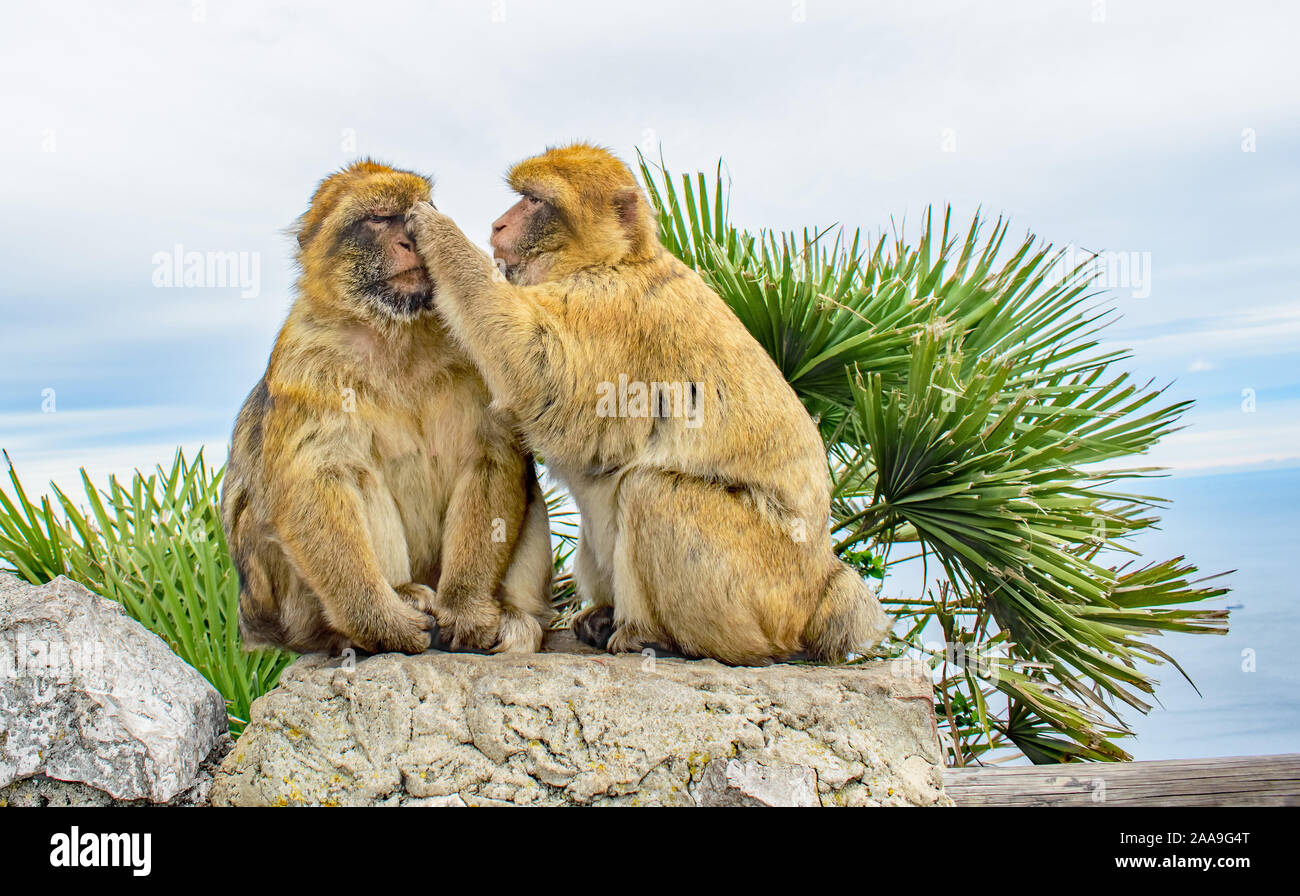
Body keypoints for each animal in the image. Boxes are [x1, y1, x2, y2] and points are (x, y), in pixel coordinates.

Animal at [219, 160, 553, 652]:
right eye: (378, 219)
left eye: (414, 212)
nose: (409, 241)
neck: (397, 333)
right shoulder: (306, 357)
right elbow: (315, 482)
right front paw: (379, 620)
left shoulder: (473, 341)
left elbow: (490, 456)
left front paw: (466, 606)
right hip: (290, 606)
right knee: (352, 474)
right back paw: (395, 599)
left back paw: (513, 618)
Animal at [405, 141, 889, 663]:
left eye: (534, 201)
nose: (498, 225)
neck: (617, 261)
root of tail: (821, 589)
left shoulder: (613, 309)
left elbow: (542, 375)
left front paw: (439, 234)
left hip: (763, 587)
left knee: (653, 492)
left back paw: (656, 636)